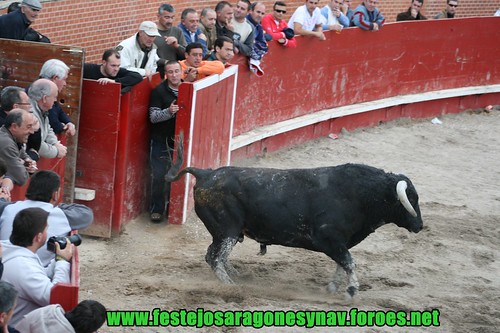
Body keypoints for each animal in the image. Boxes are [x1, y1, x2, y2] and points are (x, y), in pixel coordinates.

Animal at [167, 137, 422, 296]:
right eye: (408, 200)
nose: (419, 225)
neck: (360, 195)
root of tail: (205, 173)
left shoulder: (341, 242)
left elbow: (342, 264)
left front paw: (331, 289)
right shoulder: (329, 239)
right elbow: (349, 262)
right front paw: (351, 292)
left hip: (225, 233)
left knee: (214, 255)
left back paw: (236, 276)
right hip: (227, 231)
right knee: (215, 257)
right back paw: (232, 286)